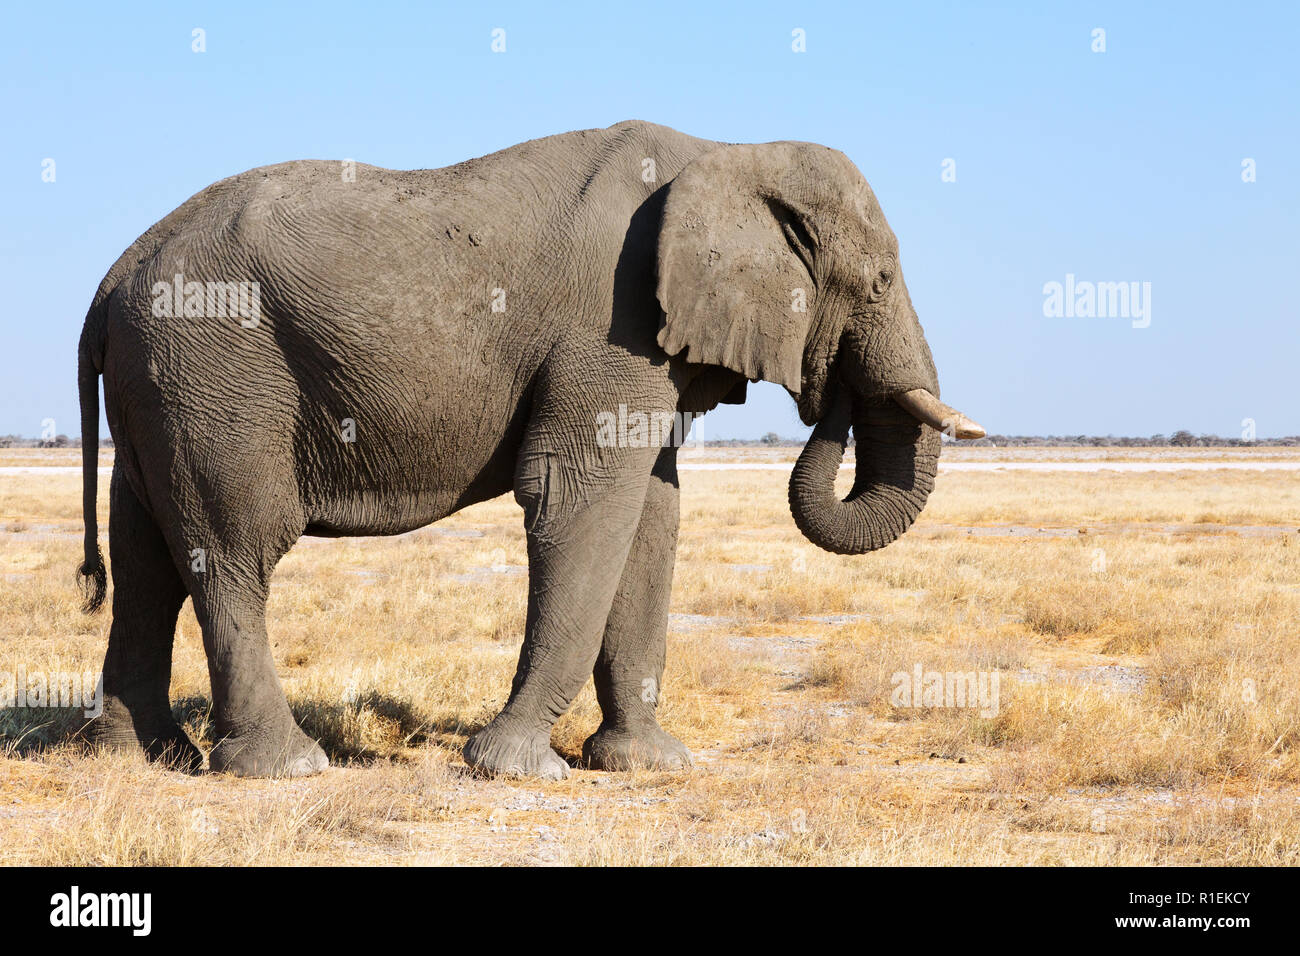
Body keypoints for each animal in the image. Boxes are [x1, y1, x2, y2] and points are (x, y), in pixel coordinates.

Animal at [76, 119, 977, 780]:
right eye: (881, 282)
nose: (832, 394)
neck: (727, 151)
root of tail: (108, 285)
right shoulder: (611, 326)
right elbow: (583, 504)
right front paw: (513, 768)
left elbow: (652, 519)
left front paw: (647, 765)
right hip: (214, 366)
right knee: (234, 550)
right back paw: (285, 767)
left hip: (162, 385)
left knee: (147, 555)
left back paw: (140, 756)